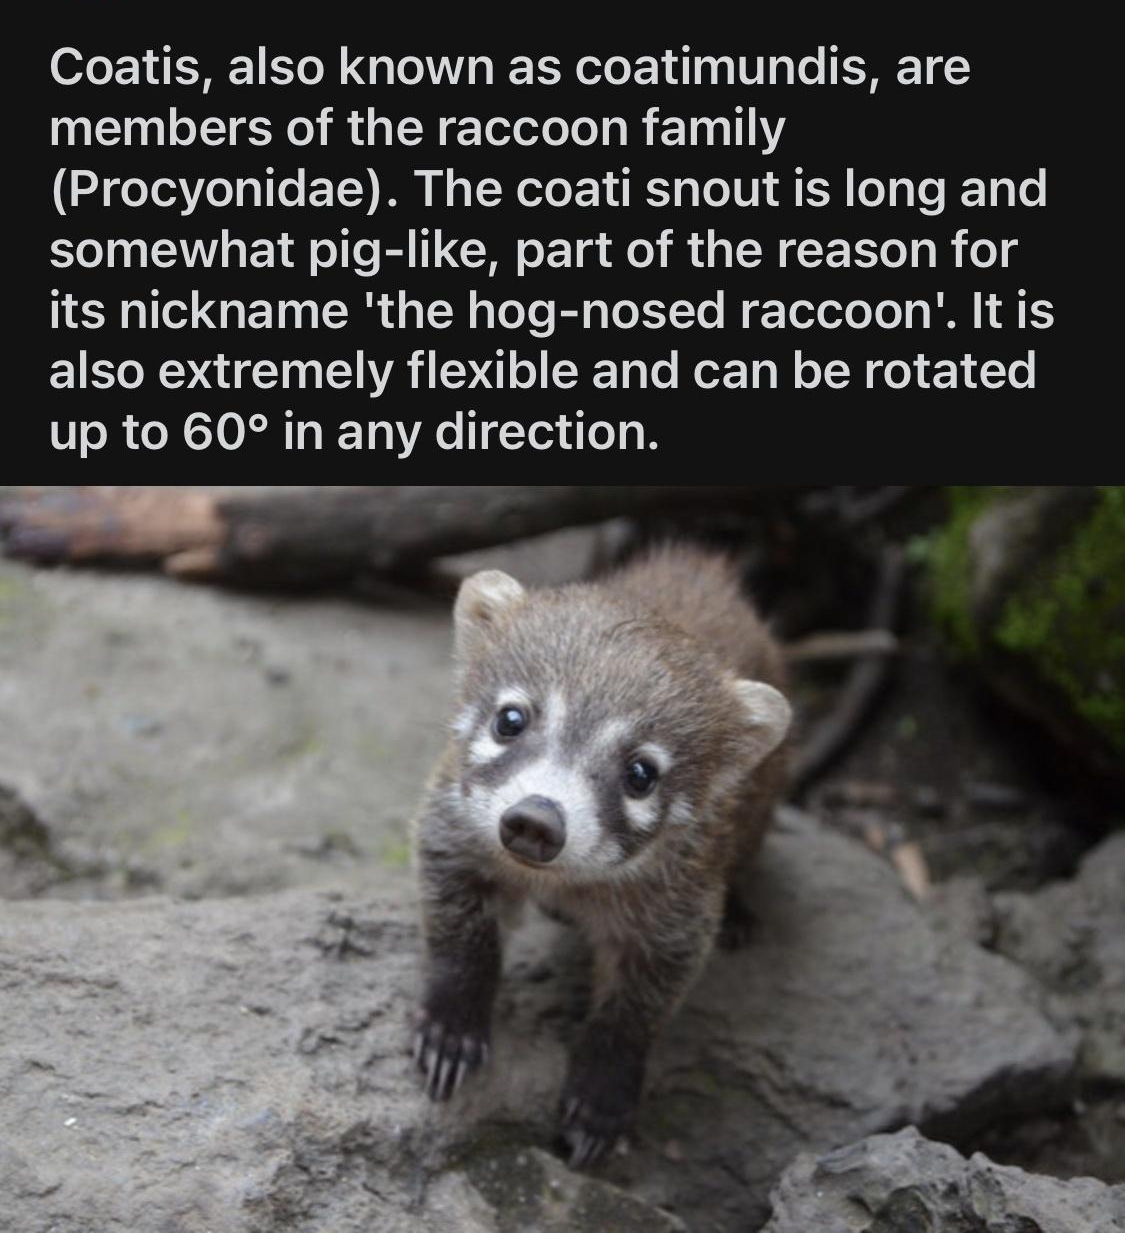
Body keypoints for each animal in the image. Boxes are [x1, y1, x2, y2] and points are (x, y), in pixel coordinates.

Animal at [411, 544, 791, 1166]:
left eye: (642, 773)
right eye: (511, 719)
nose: (536, 819)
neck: (563, 884)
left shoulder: (680, 908)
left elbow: (637, 1012)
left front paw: (601, 1098)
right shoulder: (449, 824)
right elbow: (459, 932)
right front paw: (451, 1027)